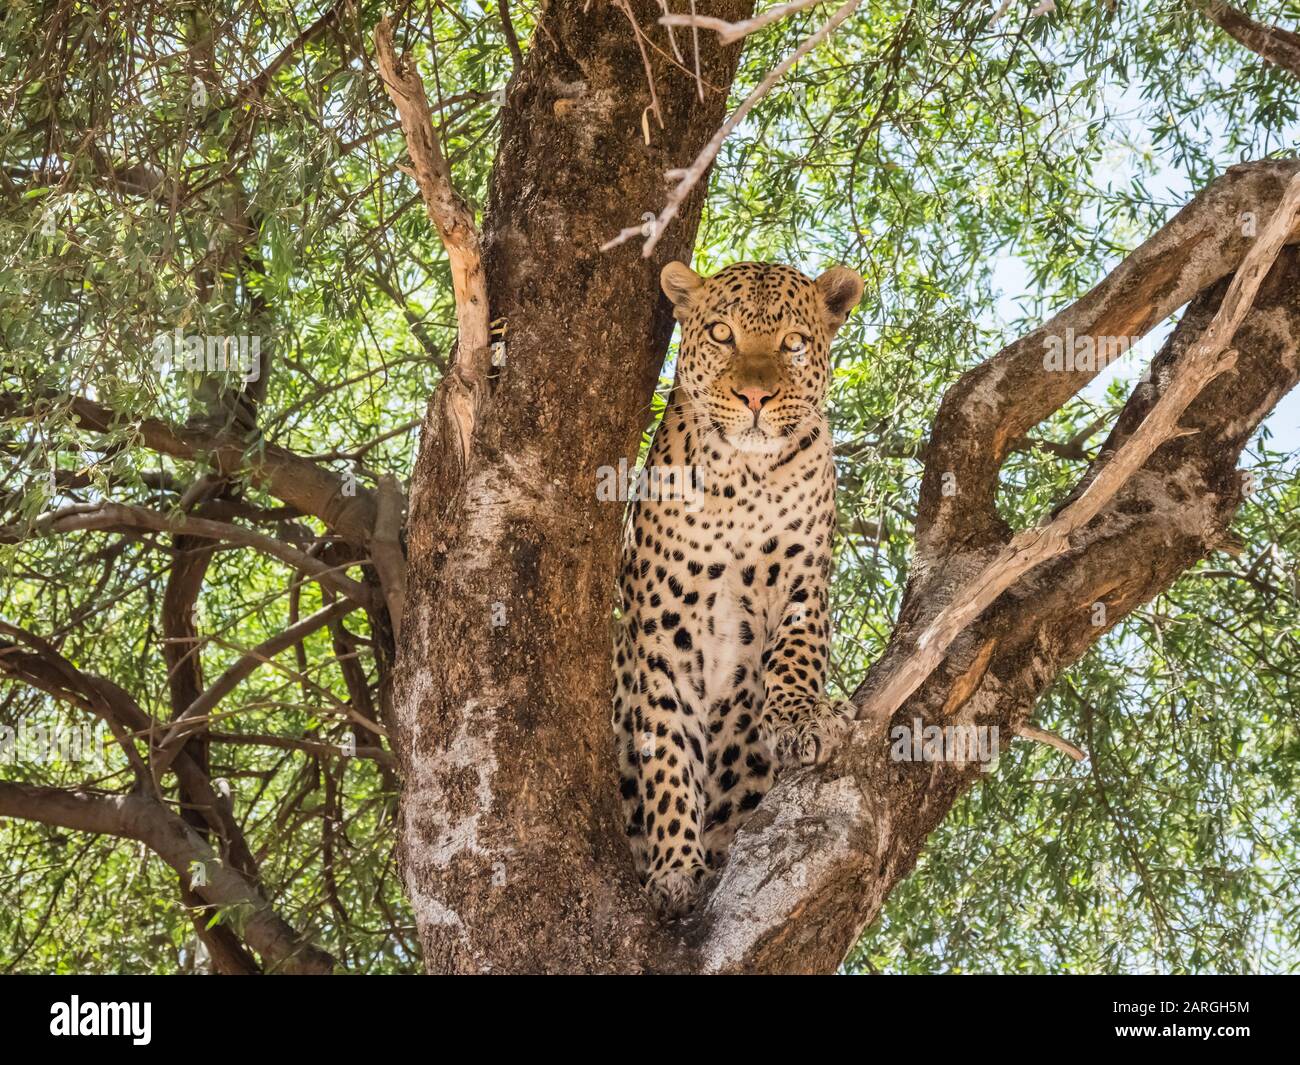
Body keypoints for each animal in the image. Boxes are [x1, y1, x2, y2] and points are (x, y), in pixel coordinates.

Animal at [608, 258, 863, 915]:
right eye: (722, 335)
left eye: (793, 343)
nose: (754, 397)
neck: (745, 477)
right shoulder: (663, 624)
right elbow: (667, 750)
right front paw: (676, 868)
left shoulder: (803, 577)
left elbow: (797, 652)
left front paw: (800, 718)